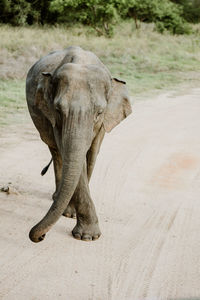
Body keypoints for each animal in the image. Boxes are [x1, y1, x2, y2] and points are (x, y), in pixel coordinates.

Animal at [26, 47, 133, 244]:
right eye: (58, 110)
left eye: (99, 112)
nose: (41, 236)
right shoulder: (54, 118)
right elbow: (71, 155)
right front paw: (86, 235)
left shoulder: (102, 123)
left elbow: (91, 155)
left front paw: (85, 234)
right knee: (56, 152)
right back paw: (58, 200)